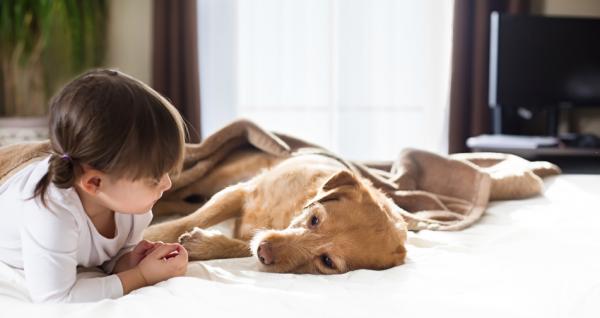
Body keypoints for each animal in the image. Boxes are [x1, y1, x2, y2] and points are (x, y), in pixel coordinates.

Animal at [143, 151, 410, 274]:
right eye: (314, 219)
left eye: (327, 261)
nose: (264, 252)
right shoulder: (240, 192)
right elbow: (190, 220)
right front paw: (151, 234)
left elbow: (241, 245)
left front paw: (203, 244)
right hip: (213, 178)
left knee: (179, 202)